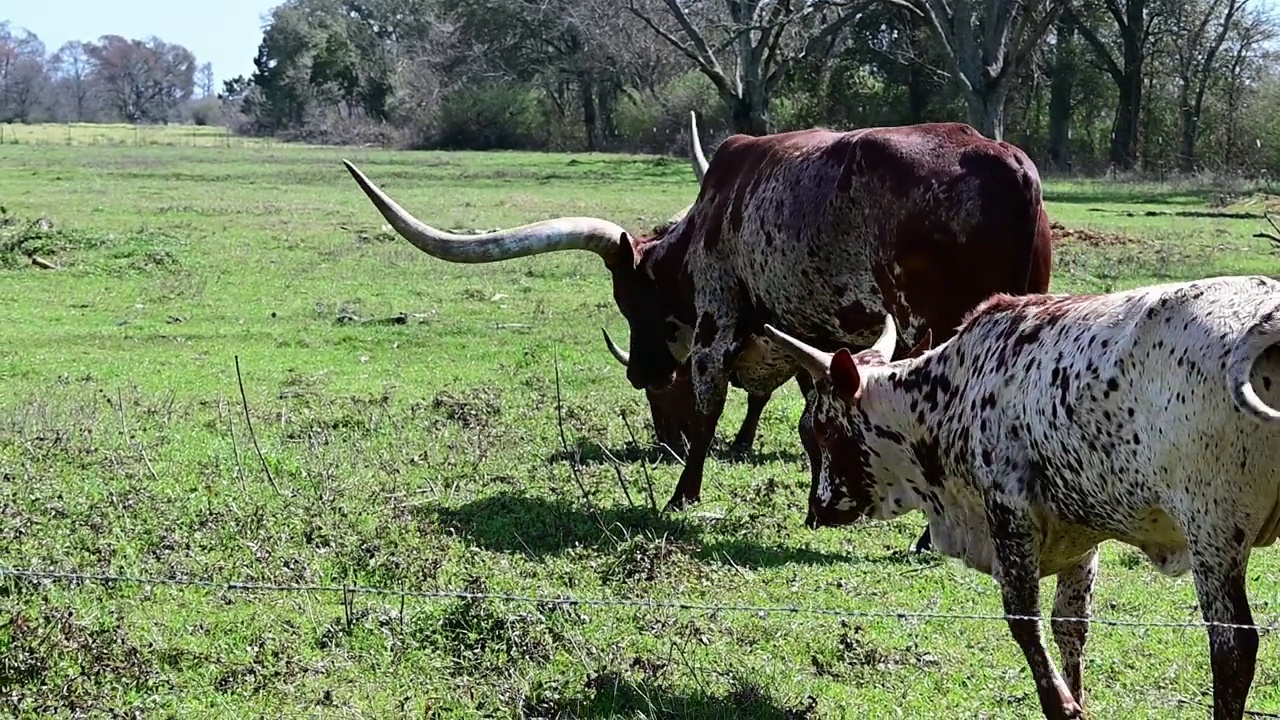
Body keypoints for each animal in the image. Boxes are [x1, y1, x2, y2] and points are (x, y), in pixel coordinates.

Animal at [340, 117, 1049, 543]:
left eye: (630, 300)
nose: (640, 372)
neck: (714, 214)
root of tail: (1011, 165)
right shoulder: (812, 335)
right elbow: (802, 411)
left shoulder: (719, 318)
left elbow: (711, 404)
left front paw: (683, 495)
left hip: (933, 323)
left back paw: (931, 535)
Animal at [762, 271, 1280, 712]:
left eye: (822, 428)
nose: (819, 507)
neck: (950, 393)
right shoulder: (1081, 533)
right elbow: (1069, 625)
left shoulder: (1008, 510)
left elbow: (1022, 619)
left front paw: (1062, 705)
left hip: (1211, 532)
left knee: (1233, 645)